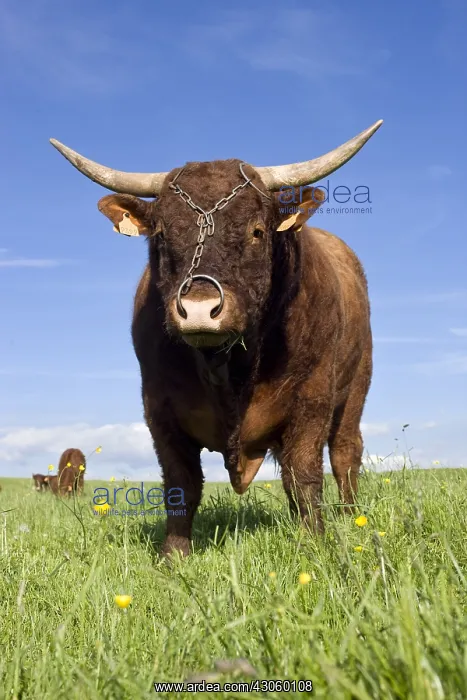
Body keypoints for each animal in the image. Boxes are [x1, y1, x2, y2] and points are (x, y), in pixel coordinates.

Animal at [50, 119, 382, 557]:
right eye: (160, 234)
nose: (198, 309)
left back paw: (351, 515)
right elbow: (181, 484)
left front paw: (314, 544)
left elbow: (304, 476)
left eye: (257, 231)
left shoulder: (312, 399)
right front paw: (174, 556)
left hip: (356, 387)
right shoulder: (158, 407)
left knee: (345, 452)